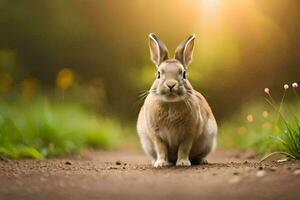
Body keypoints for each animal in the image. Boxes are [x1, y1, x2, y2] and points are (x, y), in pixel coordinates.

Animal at [137, 33, 218, 167]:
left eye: (184, 73)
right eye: (158, 74)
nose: (171, 84)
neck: (171, 103)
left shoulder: (189, 134)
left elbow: (184, 149)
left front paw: (183, 163)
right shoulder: (157, 135)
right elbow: (161, 149)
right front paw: (161, 163)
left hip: (208, 142)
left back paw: (202, 160)